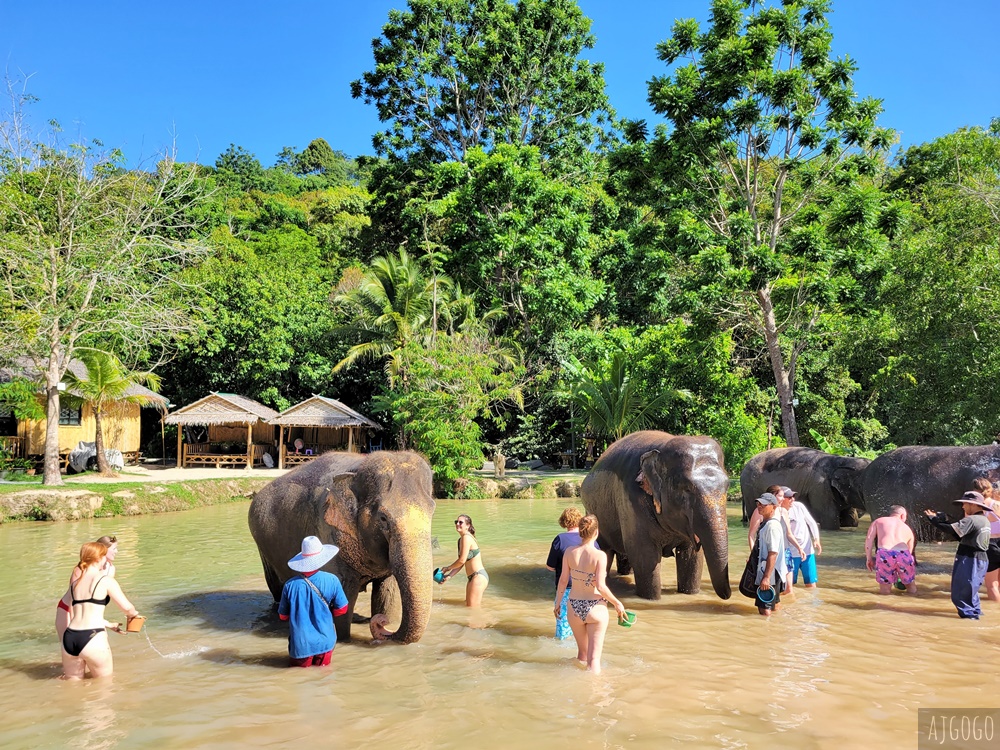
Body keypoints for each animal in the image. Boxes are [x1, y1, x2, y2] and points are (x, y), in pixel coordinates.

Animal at [248, 450, 435, 644]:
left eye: (432, 511)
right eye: (383, 518)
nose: (381, 623)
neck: (358, 469)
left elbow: (387, 593)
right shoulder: (327, 531)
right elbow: (343, 598)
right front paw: (343, 639)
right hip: (263, 548)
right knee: (277, 589)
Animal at [580, 430, 732, 601]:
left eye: (727, 486)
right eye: (686, 488)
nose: (727, 594)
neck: (661, 448)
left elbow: (692, 557)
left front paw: (690, 593)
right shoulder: (631, 502)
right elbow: (645, 556)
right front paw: (652, 599)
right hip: (593, 512)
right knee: (604, 551)